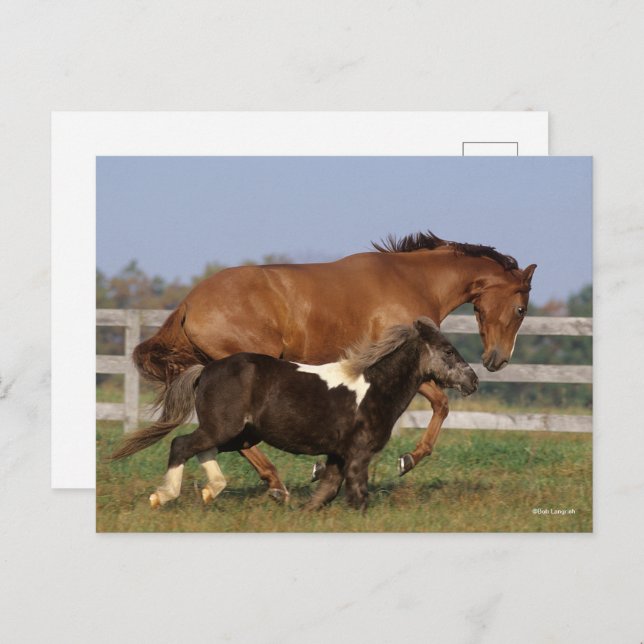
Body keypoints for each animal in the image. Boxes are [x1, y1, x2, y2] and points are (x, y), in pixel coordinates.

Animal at [112, 317, 479, 511]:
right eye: (448, 351)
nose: (473, 380)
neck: (374, 389)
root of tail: (206, 369)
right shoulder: (359, 453)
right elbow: (357, 494)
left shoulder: (338, 454)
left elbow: (326, 491)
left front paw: (301, 512)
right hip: (224, 427)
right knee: (182, 445)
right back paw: (163, 495)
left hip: (239, 433)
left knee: (202, 449)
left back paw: (210, 490)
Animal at [131, 230, 536, 500]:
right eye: (521, 309)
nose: (497, 360)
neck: (412, 281)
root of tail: (188, 304)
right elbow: (442, 403)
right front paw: (407, 460)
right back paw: (271, 485)